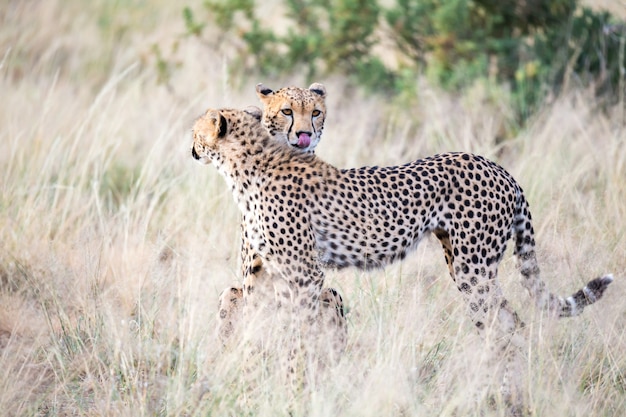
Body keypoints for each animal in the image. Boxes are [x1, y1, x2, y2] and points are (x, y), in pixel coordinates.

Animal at [193, 106, 612, 410]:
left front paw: (293, 385)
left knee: (505, 325)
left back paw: (498, 394)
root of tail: (499, 168)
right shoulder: (280, 276)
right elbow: (275, 329)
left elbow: (299, 331)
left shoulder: (306, 274)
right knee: (505, 322)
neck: (247, 166)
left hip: (473, 267)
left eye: (196, 130)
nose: (192, 148)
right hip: (459, 258)